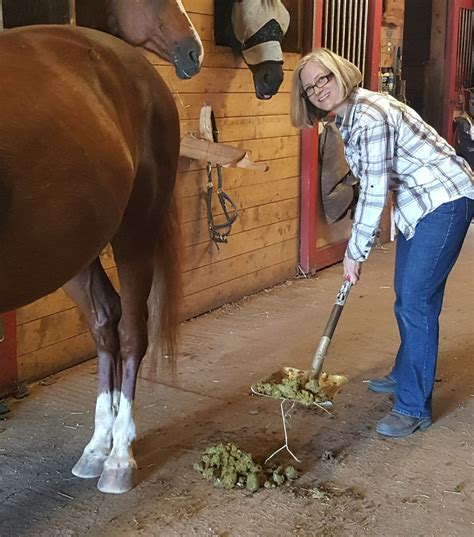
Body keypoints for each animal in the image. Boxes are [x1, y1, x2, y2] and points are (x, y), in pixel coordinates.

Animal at [0, 1, 202, 494]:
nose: (195, 50)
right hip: (71, 251)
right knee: (104, 320)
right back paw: (96, 447)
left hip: (134, 234)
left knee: (130, 332)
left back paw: (119, 458)